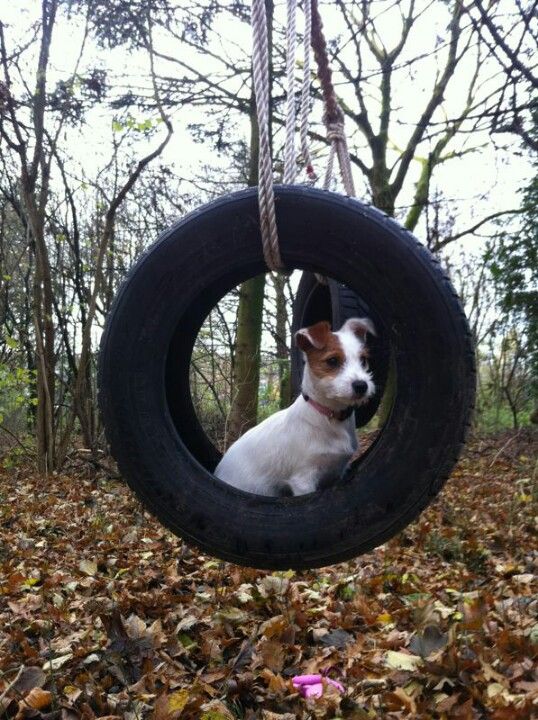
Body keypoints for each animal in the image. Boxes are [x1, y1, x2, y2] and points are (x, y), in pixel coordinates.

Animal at [211, 318, 374, 498]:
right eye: (332, 361)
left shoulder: (338, 471)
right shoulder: (303, 479)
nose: (362, 386)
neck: (329, 416)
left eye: (363, 360)